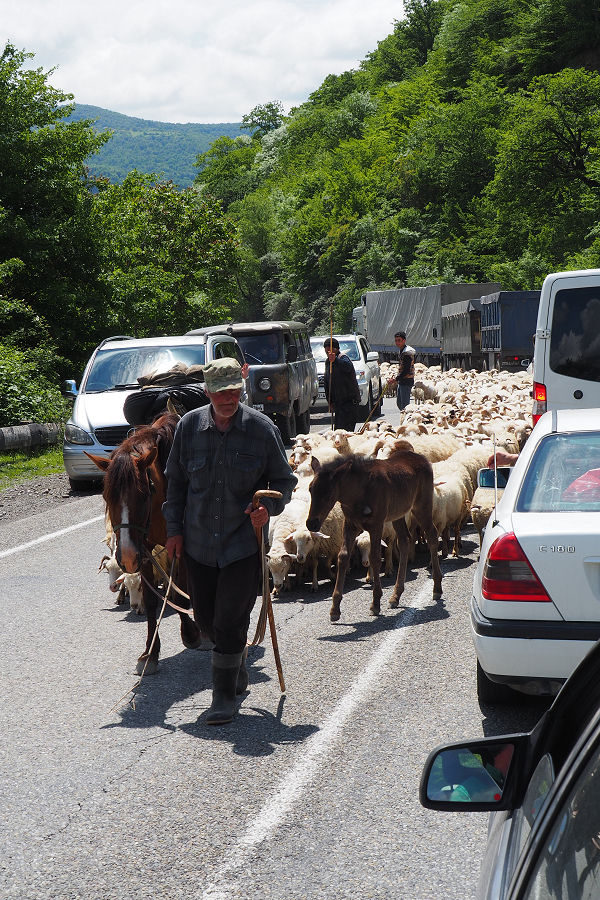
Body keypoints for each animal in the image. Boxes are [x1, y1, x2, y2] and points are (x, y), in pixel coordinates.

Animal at [86, 412, 203, 672]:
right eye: (106, 496)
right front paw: (150, 652)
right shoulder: (146, 553)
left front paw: (191, 633)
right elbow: (150, 600)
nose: (127, 557)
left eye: (144, 493)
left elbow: (179, 592)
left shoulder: (179, 547)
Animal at [308, 448, 442, 624]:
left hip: (422, 505)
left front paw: (375, 604)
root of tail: (424, 460)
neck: (357, 494)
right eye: (310, 489)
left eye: (329, 494)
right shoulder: (350, 525)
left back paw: (437, 588)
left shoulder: (376, 525)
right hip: (398, 514)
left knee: (432, 535)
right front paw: (335, 609)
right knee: (405, 540)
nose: (311, 523)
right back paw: (396, 596)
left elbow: (375, 558)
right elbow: (343, 556)